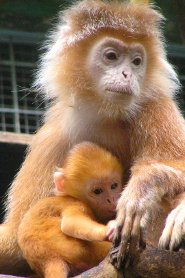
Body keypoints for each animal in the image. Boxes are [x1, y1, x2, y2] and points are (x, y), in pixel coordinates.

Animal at [17, 143, 121, 278]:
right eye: (97, 191)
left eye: (114, 186)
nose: (111, 199)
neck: (72, 196)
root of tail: (50, 259)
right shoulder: (76, 204)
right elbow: (70, 224)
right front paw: (109, 229)